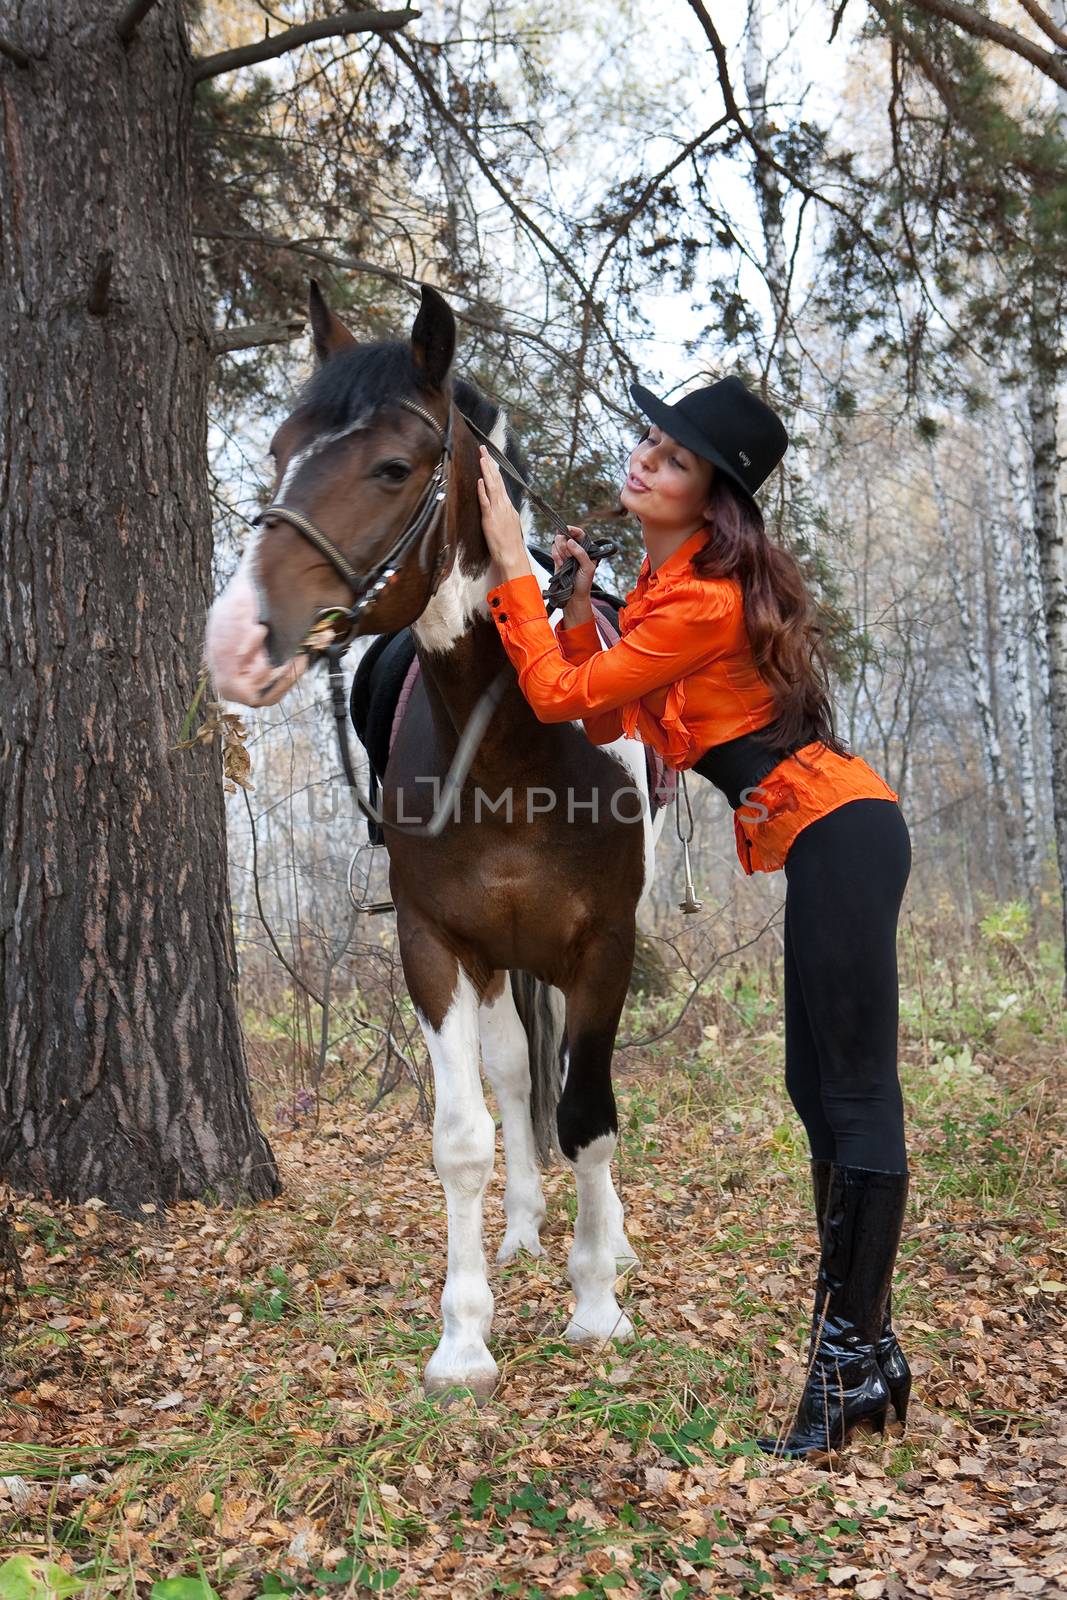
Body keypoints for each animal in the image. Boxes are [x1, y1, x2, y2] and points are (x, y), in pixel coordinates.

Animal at [204, 281, 668, 1395]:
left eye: (390, 467)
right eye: (281, 447)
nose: (236, 641)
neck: (514, 744)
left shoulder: (604, 945)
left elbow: (590, 1114)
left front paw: (597, 1304)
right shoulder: (438, 946)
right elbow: (464, 1135)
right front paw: (464, 1337)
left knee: (572, 1092)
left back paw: (607, 1241)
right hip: (500, 959)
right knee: (515, 1076)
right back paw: (526, 1230)